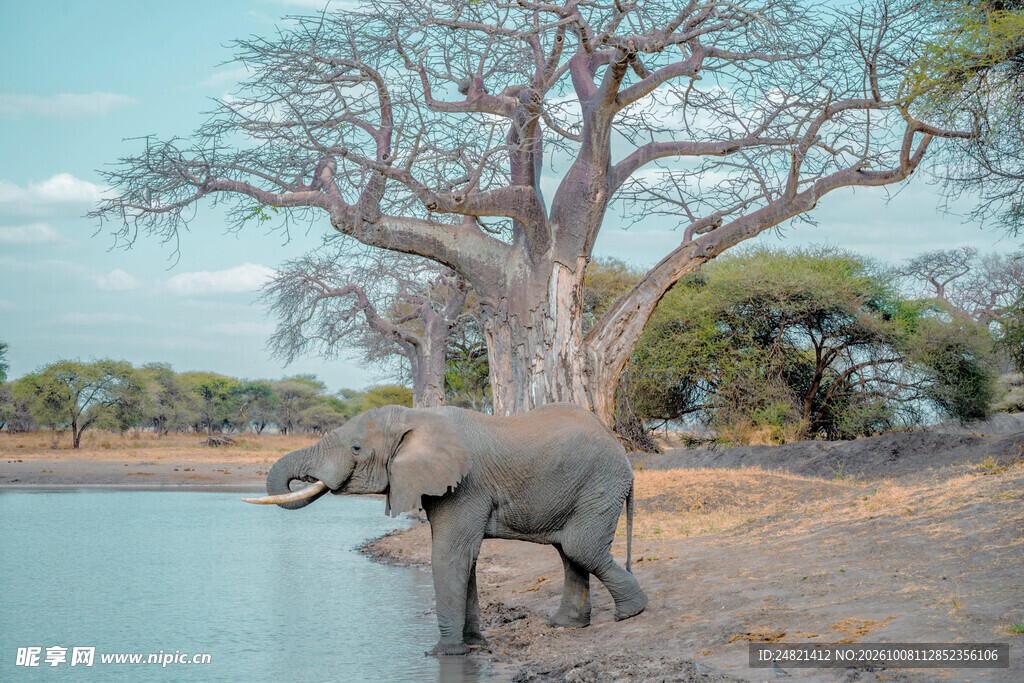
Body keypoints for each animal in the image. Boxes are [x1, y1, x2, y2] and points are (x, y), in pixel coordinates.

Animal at [243, 402, 648, 655]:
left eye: (356, 448)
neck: (417, 417)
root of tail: (619, 445)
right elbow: (465, 559)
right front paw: (474, 645)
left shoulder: (465, 485)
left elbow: (449, 556)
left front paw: (444, 654)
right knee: (568, 551)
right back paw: (566, 626)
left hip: (600, 483)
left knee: (580, 547)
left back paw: (632, 614)